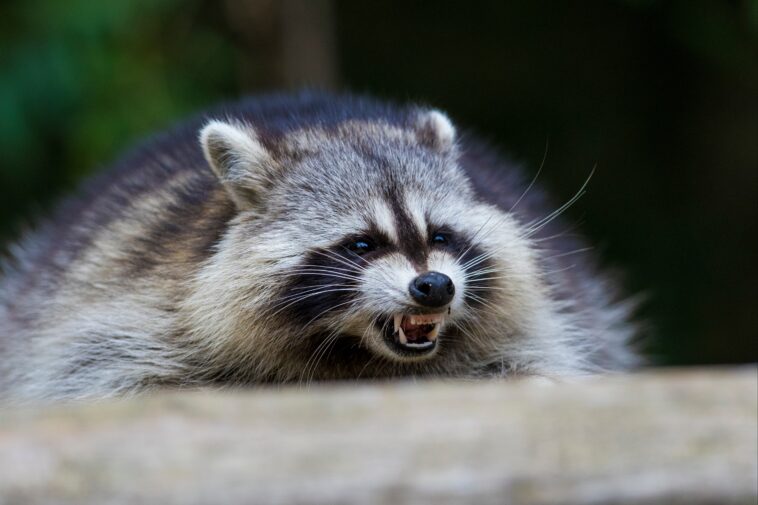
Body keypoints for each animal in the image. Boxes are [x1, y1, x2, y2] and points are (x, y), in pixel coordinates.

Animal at [0, 92, 638, 402]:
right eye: (361, 243)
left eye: (439, 236)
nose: (434, 286)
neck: (358, 353)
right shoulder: (133, 295)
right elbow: (102, 374)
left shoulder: (544, 318)